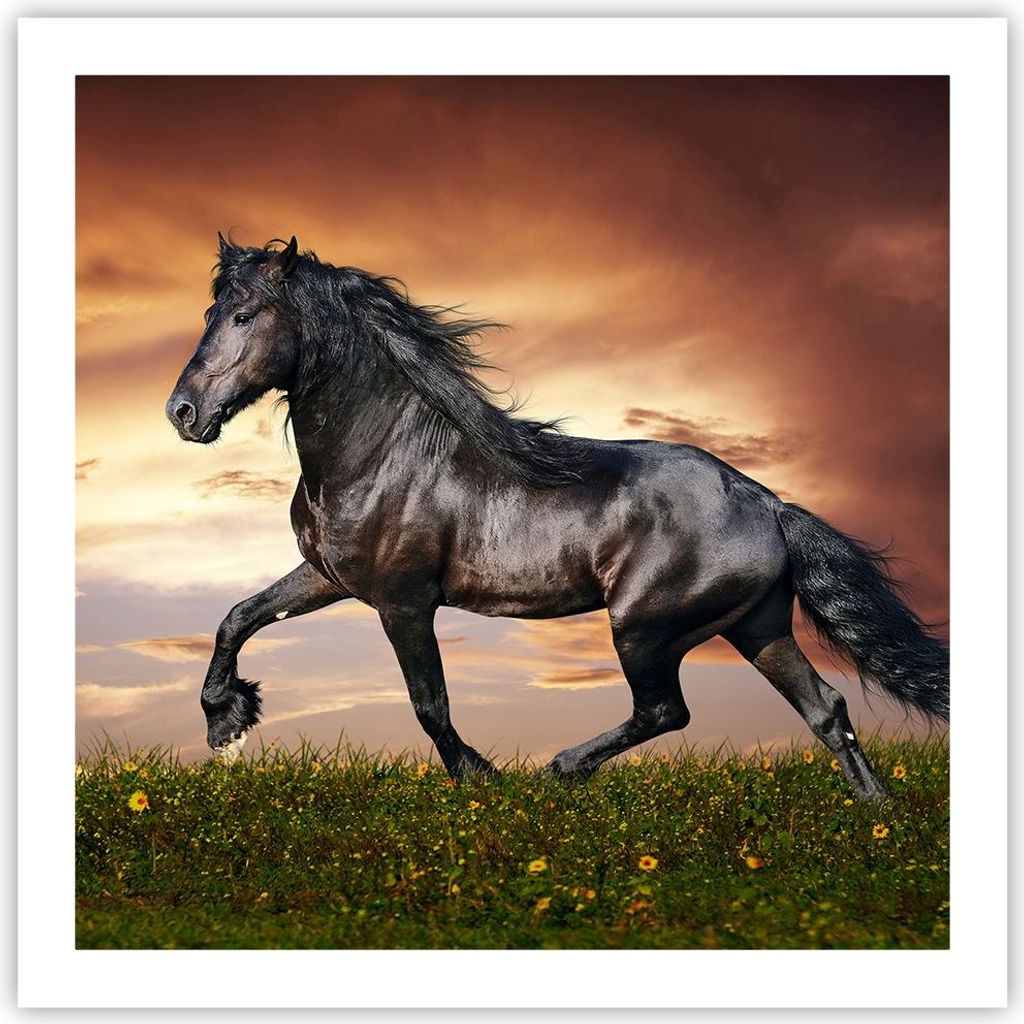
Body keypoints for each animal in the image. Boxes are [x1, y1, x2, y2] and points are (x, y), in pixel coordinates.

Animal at [166, 235, 949, 799]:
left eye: (244, 316)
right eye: (209, 314)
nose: (183, 413)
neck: (384, 452)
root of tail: (770, 505)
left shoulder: (403, 601)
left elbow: (429, 704)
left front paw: (480, 778)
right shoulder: (328, 576)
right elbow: (238, 616)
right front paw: (226, 722)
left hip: (644, 627)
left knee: (667, 711)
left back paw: (561, 769)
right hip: (756, 626)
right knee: (826, 709)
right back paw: (874, 814)